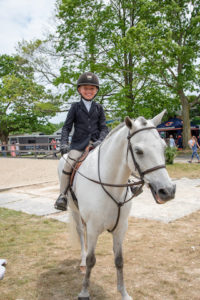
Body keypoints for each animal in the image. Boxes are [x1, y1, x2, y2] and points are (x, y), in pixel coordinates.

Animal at [57, 110, 175, 300]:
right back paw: (81, 261)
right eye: (138, 151)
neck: (111, 184)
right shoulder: (94, 228)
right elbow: (91, 260)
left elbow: (119, 260)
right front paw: (84, 292)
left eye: (163, 147)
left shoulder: (121, 228)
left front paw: (124, 293)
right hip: (75, 211)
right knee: (81, 234)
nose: (168, 191)